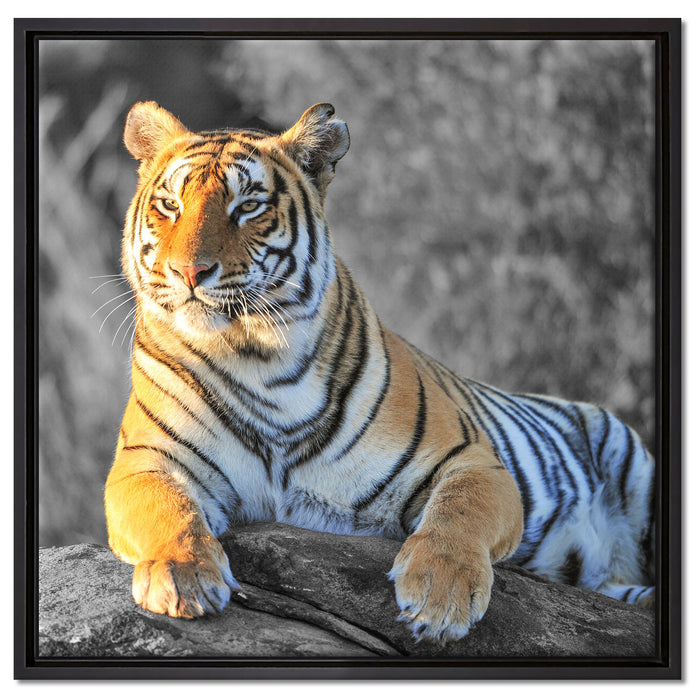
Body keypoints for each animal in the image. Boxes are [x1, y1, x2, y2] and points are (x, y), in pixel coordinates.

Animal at [105, 100, 656, 644]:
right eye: (170, 205)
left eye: (248, 207)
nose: (189, 272)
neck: (257, 357)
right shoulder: (145, 461)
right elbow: (167, 510)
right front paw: (183, 576)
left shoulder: (472, 460)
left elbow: (459, 513)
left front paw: (440, 595)